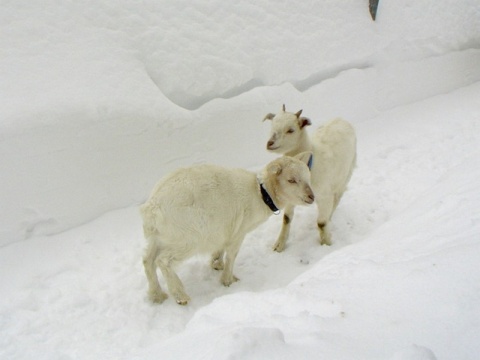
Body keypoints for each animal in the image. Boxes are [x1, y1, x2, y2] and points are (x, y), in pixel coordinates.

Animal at [140, 153, 316, 306]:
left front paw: (216, 263)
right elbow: (232, 255)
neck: (260, 194)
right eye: (291, 180)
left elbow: (221, 250)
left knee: (148, 260)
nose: (311, 197)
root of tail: (152, 207)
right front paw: (228, 280)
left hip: (159, 237)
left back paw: (157, 295)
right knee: (162, 260)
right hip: (188, 237)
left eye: (308, 178)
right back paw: (180, 295)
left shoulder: (224, 232)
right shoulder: (238, 233)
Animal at [262, 104, 356, 250]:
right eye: (272, 125)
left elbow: (321, 223)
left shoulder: (324, 195)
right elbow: (286, 218)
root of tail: (341, 119)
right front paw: (279, 245)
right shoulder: (291, 193)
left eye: (291, 130)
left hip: (345, 174)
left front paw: (326, 244)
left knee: (337, 197)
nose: (270, 143)